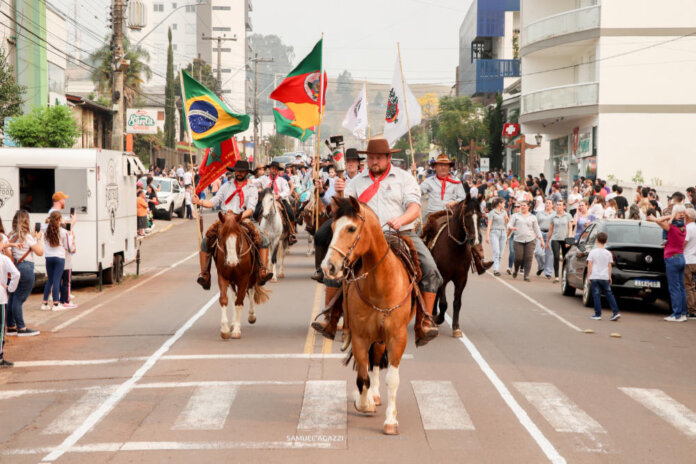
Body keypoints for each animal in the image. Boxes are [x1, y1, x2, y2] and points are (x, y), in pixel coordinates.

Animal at [422, 195, 482, 338]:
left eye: (481, 216)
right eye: (467, 215)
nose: (475, 240)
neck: (454, 248)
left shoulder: (461, 279)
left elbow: (457, 303)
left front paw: (456, 327)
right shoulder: (443, 277)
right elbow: (444, 303)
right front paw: (438, 318)